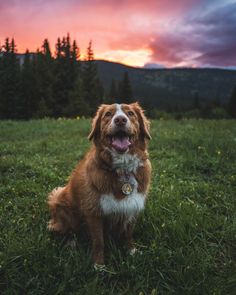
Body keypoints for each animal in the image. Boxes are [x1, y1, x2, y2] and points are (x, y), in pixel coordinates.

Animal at [47, 102, 151, 268]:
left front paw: (131, 251)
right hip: (58, 197)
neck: (122, 169)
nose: (120, 120)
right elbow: (98, 241)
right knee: (66, 229)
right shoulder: (94, 212)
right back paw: (71, 243)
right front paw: (99, 266)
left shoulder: (133, 205)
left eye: (130, 113)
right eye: (108, 114)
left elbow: (128, 234)